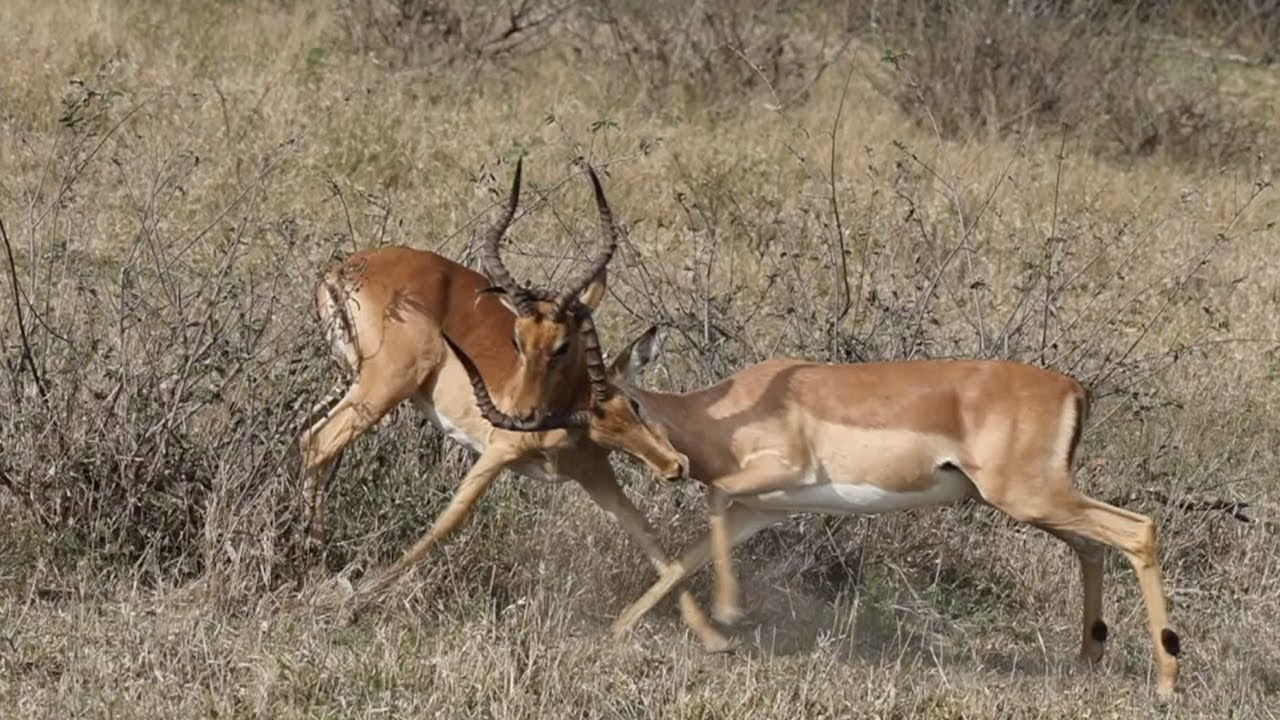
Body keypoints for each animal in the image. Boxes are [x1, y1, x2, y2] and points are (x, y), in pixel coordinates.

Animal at [297, 161, 728, 648]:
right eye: (517, 341)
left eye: (633, 407)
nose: (676, 466)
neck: (565, 406)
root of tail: (342, 269)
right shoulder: (498, 451)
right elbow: (447, 522)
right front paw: (359, 598)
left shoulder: (594, 473)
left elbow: (650, 540)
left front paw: (712, 637)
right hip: (385, 386)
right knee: (320, 441)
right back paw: (317, 566)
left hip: (349, 379)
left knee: (311, 438)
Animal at [451, 326, 1183, 699]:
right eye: (595, 430)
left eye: (630, 403)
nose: (672, 467)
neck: (728, 410)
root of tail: (1072, 386)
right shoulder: (762, 510)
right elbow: (685, 555)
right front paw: (624, 630)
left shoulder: (781, 475)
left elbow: (709, 506)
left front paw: (729, 617)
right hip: (1041, 503)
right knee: (1093, 546)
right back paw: (1087, 662)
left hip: (1030, 496)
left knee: (1138, 530)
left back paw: (1168, 682)